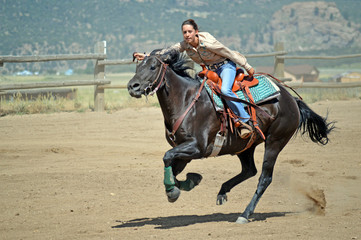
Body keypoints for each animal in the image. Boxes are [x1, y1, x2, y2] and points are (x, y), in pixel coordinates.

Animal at [126, 48, 332, 223]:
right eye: (137, 67)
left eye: (153, 66)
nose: (132, 86)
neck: (186, 101)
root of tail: (291, 99)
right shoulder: (184, 150)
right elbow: (173, 168)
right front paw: (187, 182)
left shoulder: (197, 147)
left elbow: (167, 157)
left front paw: (173, 191)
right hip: (245, 146)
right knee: (249, 170)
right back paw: (223, 192)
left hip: (275, 142)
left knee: (264, 178)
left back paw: (245, 214)